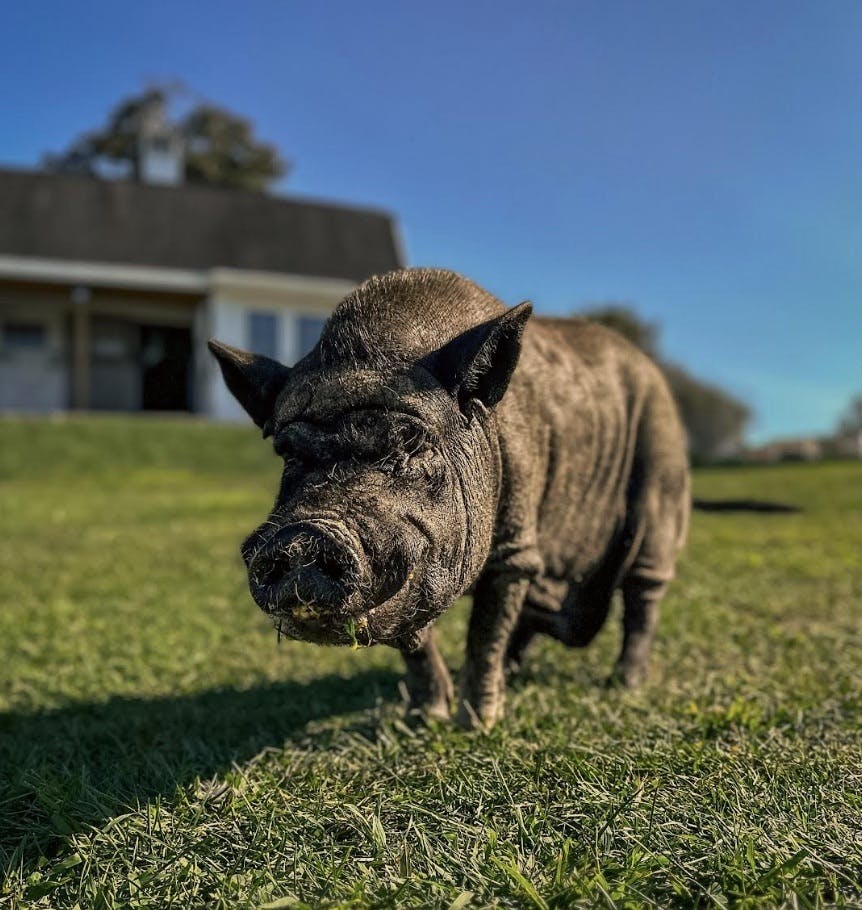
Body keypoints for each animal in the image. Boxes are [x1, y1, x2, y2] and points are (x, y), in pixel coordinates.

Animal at [209, 267, 690, 729]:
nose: (302, 537)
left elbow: (484, 634)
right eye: (287, 453)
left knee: (643, 591)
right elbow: (416, 643)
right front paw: (425, 719)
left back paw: (626, 683)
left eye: (411, 442)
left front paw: (478, 725)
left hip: (660, 475)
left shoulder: (513, 548)